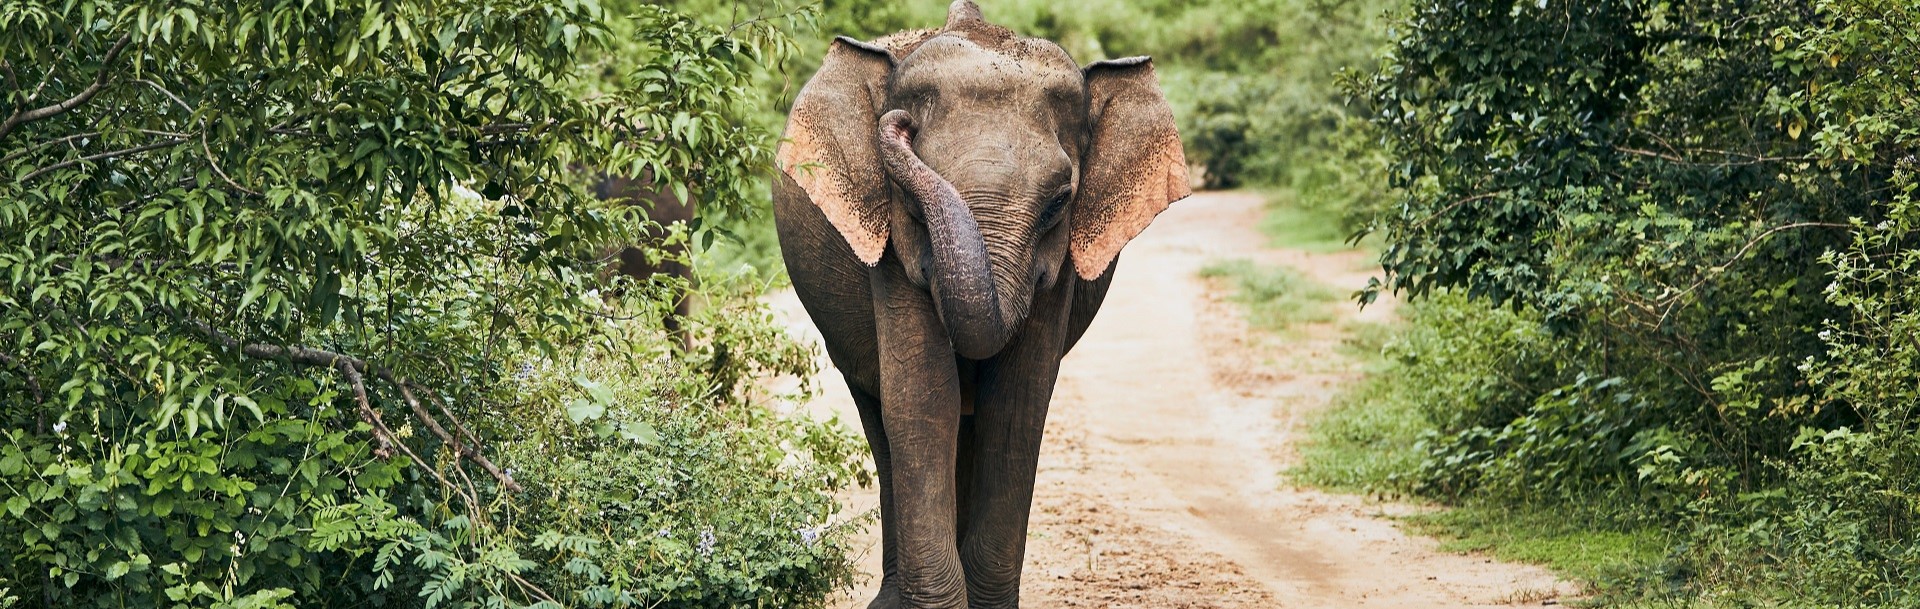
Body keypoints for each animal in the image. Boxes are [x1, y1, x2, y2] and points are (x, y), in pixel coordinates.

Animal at [764, 2, 1182, 603]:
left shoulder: (1059, 269)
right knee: (883, 418)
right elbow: (923, 398)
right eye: (908, 197)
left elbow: (1017, 405)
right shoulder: (891, 252)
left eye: (1060, 202)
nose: (900, 123)